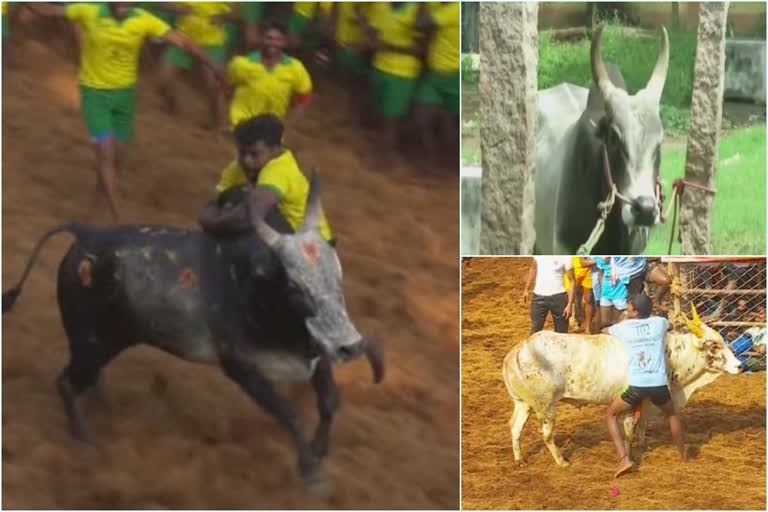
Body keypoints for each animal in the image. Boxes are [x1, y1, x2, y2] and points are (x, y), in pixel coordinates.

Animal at [0, 221, 384, 496]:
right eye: (296, 286)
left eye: (338, 279)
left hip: (107, 342)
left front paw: (320, 451)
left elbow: (329, 400)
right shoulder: (241, 366)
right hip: (93, 340)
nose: (351, 346)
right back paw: (85, 443)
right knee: (66, 382)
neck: (258, 288)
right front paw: (313, 474)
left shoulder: (316, 353)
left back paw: (103, 410)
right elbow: (288, 411)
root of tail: (87, 232)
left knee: (84, 379)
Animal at [504, 306, 744, 466]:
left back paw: (519, 459)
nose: (739, 365)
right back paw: (561, 461)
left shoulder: (647, 399)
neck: (668, 354)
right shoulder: (632, 399)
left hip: (523, 403)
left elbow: (643, 423)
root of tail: (518, 350)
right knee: (545, 434)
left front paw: (642, 443)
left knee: (515, 427)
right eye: (714, 345)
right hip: (545, 406)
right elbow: (629, 428)